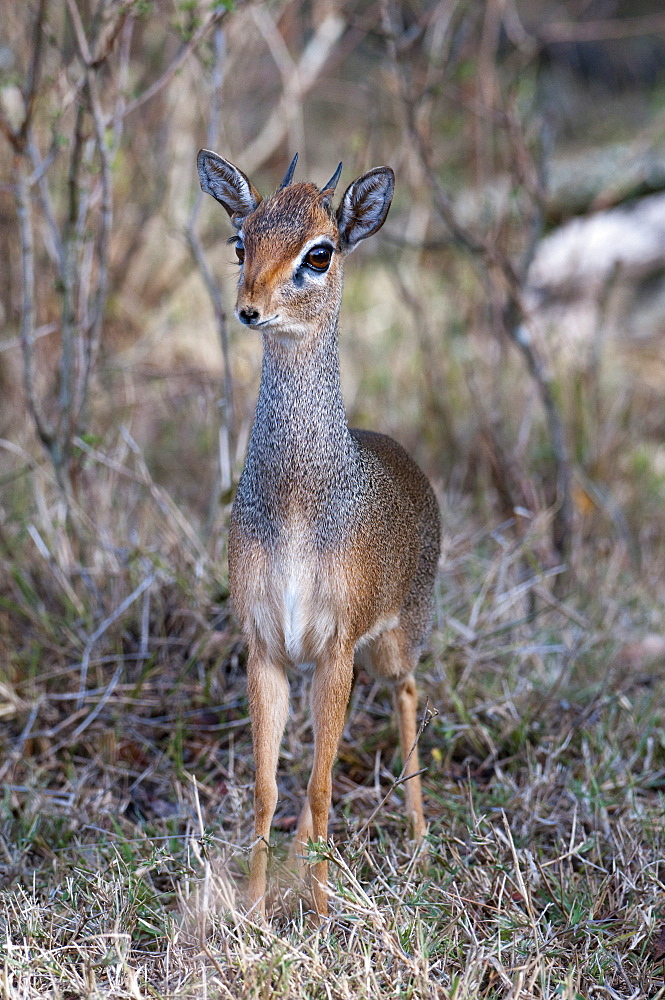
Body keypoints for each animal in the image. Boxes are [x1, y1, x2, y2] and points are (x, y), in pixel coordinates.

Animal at [197, 145, 440, 916]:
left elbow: (323, 784)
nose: (249, 309)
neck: (302, 507)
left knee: (406, 695)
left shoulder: (334, 645)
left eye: (320, 251)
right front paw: (252, 909)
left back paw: (420, 843)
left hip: (392, 641)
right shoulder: (267, 647)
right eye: (240, 240)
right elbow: (269, 786)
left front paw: (326, 914)